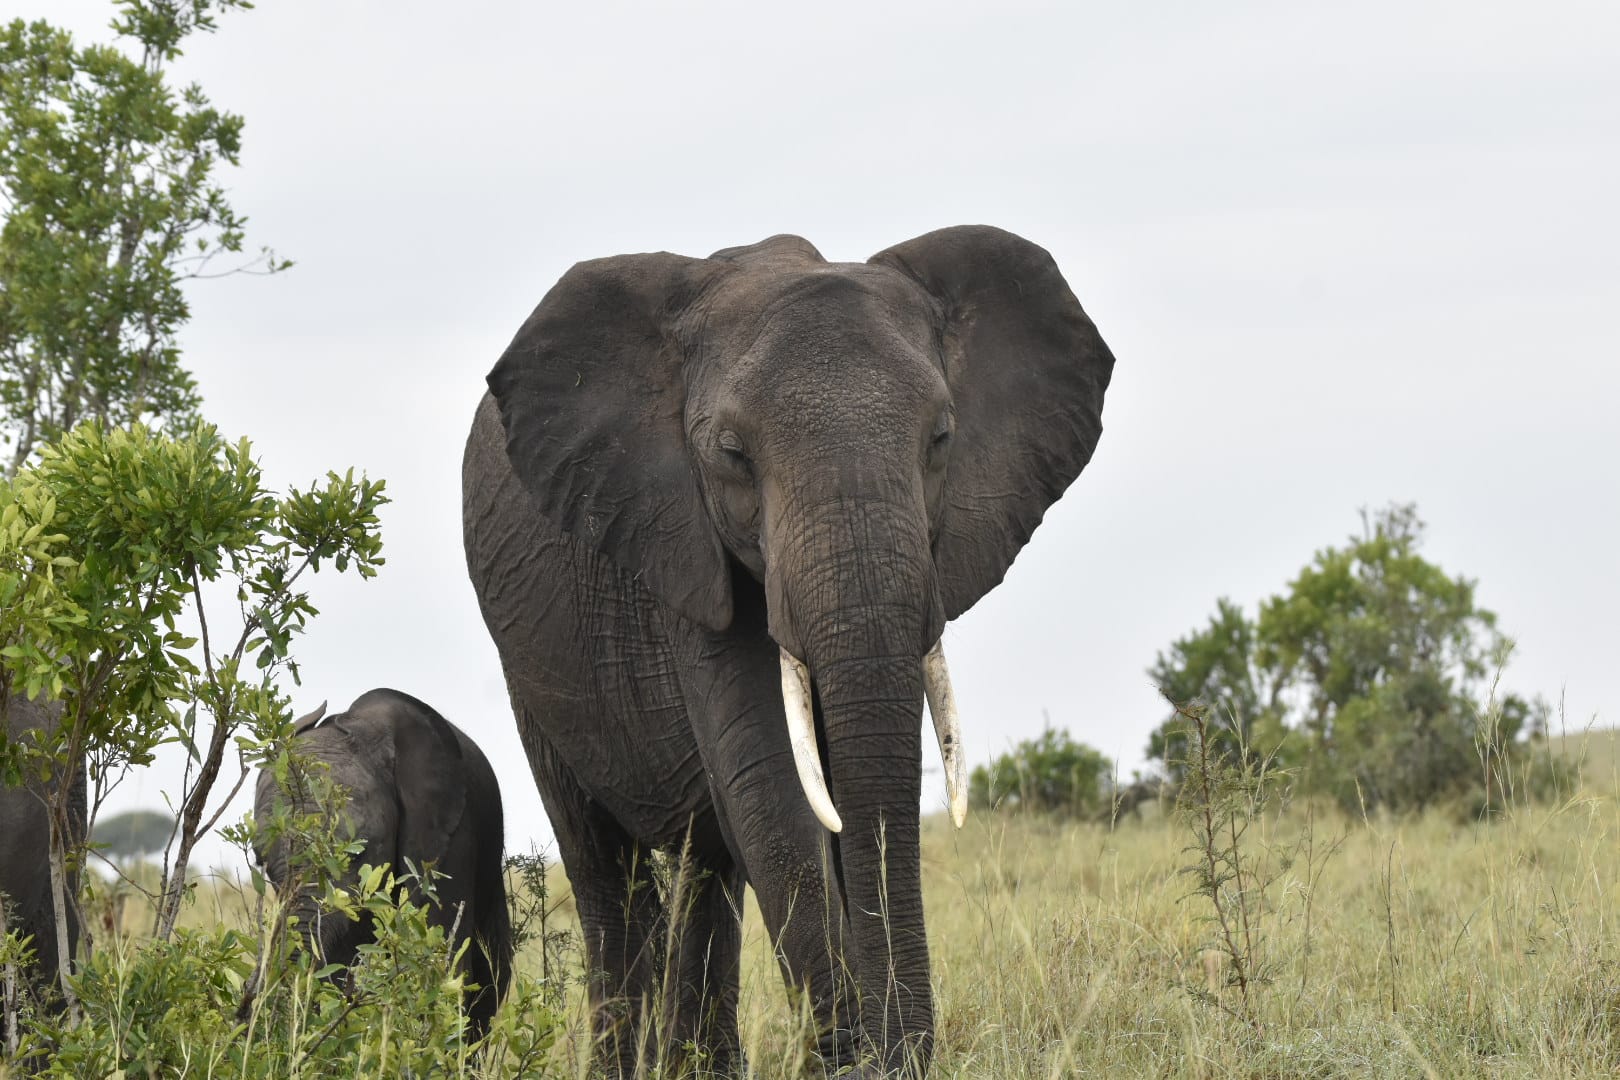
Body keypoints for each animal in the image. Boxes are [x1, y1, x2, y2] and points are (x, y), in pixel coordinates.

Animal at [462, 225, 1114, 1076]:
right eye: (732, 454)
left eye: (941, 438)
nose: (889, 1054)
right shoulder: (676, 537)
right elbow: (774, 781)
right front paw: (847, 1058)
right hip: (531, 667)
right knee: (604, 864)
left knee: (706, 863)